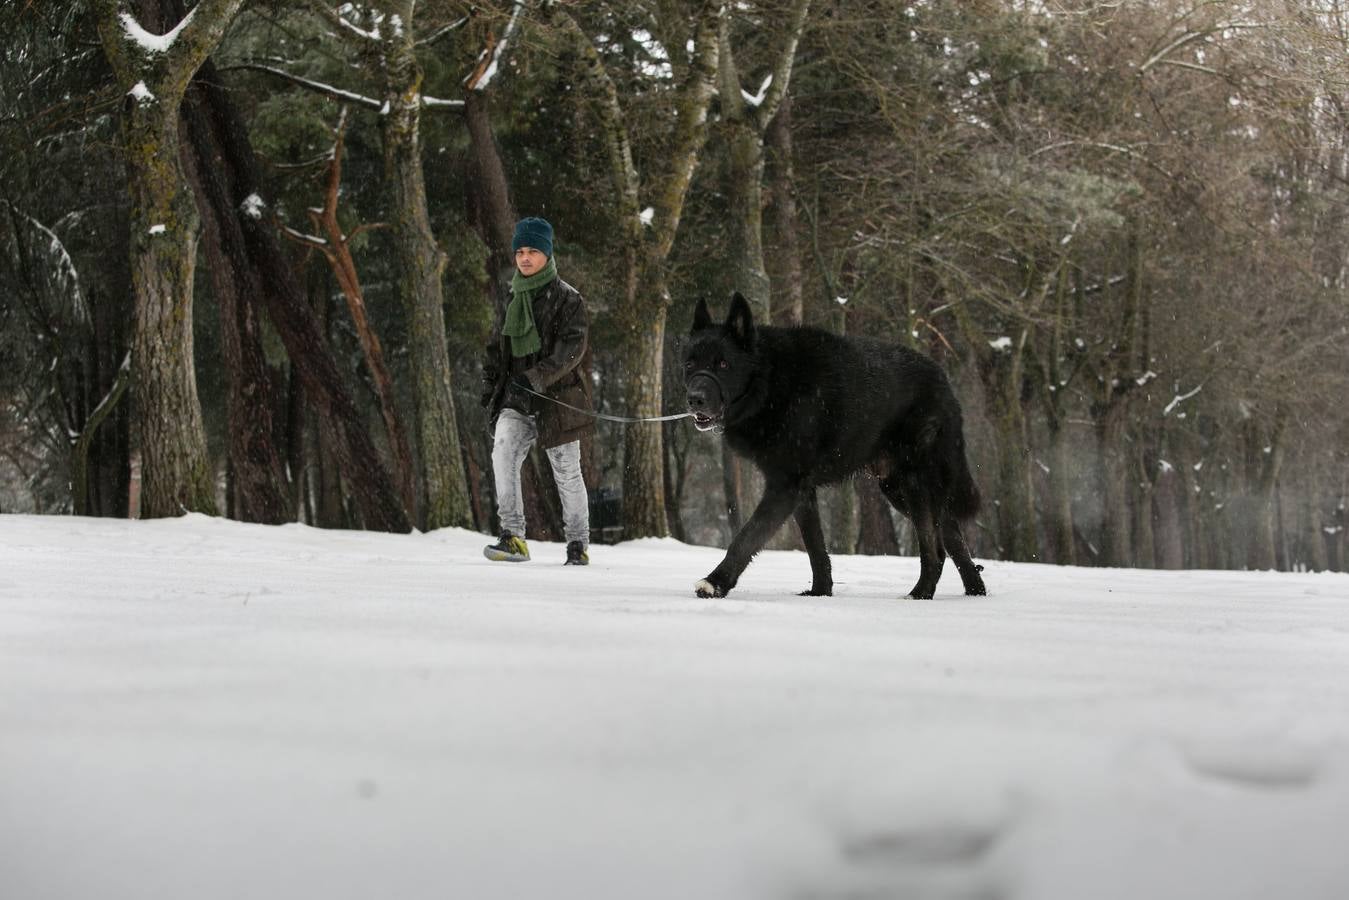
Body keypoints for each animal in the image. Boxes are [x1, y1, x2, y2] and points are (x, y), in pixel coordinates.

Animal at [690, 292, 987, 601]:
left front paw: (715, 583)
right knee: (951, 532)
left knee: (935, 548)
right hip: (898, 489)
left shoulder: (785, 487)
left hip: (913, 485)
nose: (694, 398)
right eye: (690, 363)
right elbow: (816, 549)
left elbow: (746, 538)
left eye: (723, 364)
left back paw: (920, 594)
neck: (771, 380)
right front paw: (820, 592)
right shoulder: (802, 492)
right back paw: (975, 591)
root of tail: (946, 384)